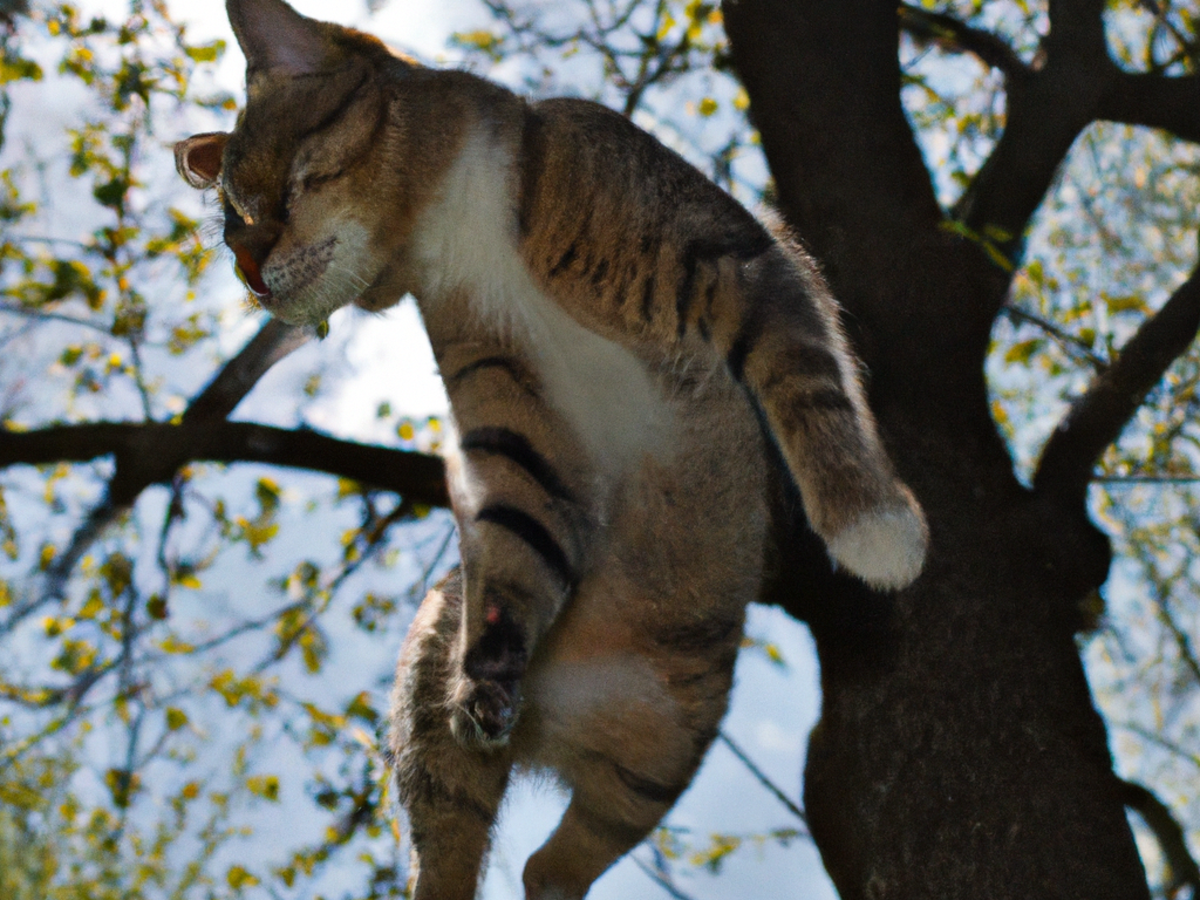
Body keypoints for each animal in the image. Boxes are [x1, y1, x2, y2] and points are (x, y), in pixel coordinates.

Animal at [175, 1, 926, 900]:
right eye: (229, 239)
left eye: (269, 199)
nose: (251, 279)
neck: (462, 237)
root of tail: (554, 728)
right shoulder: (517, 421)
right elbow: (517, 534)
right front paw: (492, 665)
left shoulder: (735, 257)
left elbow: (810, 384)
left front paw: (873, 526)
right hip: (442, 691)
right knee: (478, 856)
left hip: (662, 748)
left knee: (554, 865)